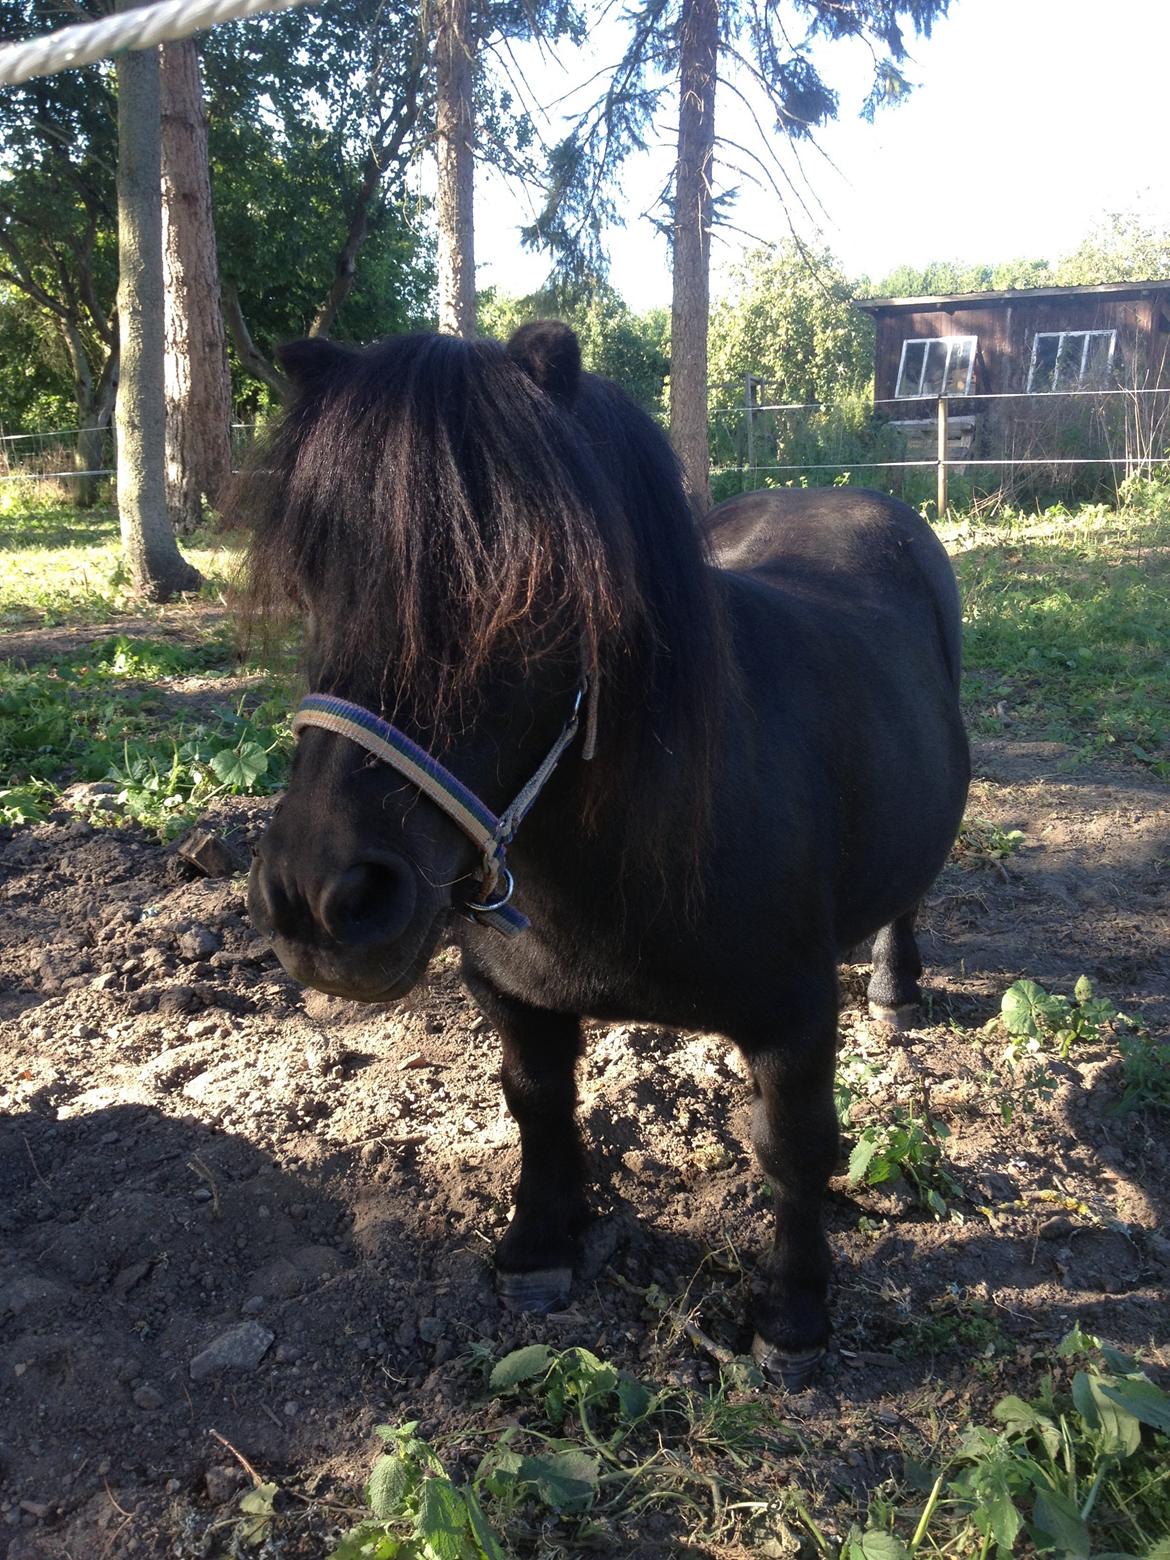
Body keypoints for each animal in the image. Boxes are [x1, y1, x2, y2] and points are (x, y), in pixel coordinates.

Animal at [239, 321, 970, 1389]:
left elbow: (793, 1148)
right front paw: (541, 1243)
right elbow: (537, 1102)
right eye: (315, 581)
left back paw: (896, 989)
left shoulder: (796, 1017)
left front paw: (792, 1313)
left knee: (907, 896)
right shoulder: (512, 995)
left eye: (527, 593)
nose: (319, 902)